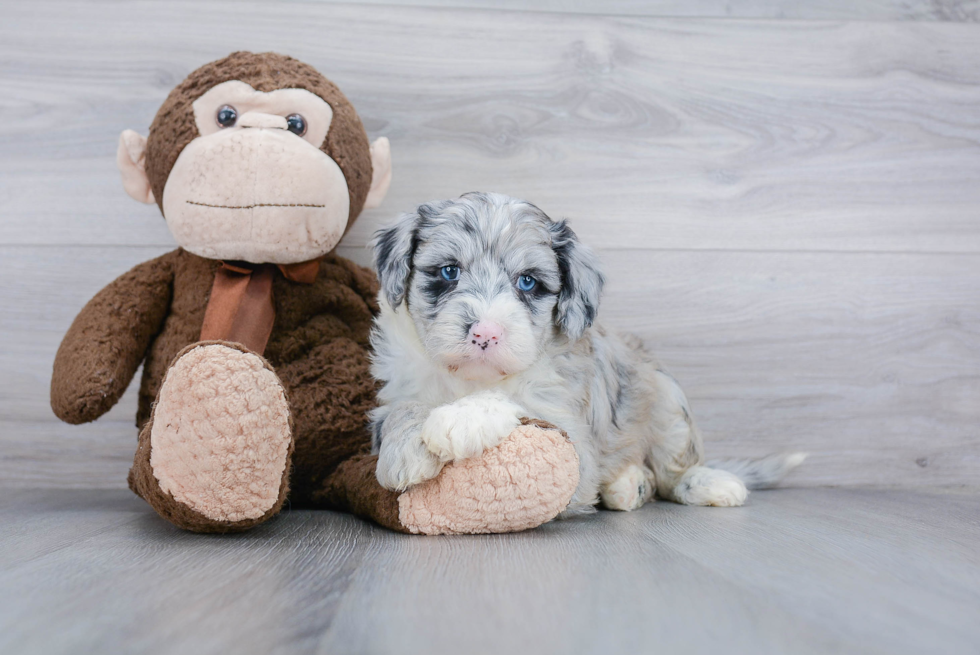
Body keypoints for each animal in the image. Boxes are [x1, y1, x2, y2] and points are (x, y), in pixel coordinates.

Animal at [368, 193, 804, 512]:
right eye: (448, 272)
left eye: (528, 282)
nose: (486, 332)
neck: (471, 379)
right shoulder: (392, 396)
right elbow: (402, 411)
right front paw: (404, 449)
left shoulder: (572, 441)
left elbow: (519, 404)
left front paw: (461, 419)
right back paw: (629, 485)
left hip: (666, 399)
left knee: (672, 468)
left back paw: (704, 482)